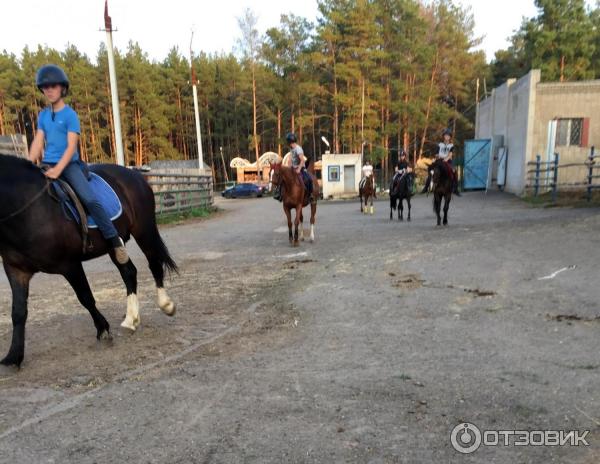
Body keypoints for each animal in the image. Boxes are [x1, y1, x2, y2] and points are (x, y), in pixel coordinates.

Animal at [0, 154, 178, 368]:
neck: (29, 207)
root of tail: (135, 175)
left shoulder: (70, 264)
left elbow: (85, 297)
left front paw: (103, 329)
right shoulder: (16, 270)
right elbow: (18, 312)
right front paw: (13, 355)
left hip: (144, 230)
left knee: (154, 265)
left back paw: (166, 305)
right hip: (114, 243)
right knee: (129, 272)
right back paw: (131, 319)